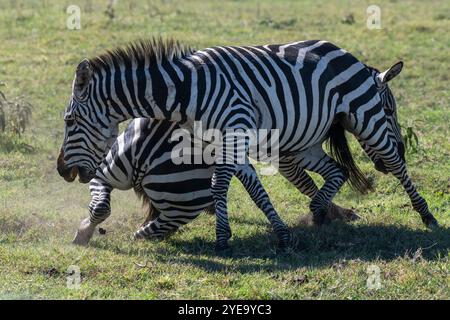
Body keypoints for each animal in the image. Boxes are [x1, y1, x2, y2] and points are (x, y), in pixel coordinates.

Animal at [64, 117, 358, 245]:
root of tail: (142, 151)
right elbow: (300, 182)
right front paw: (331, 213)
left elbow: (257, 187)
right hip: (181, 203)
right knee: (142, 231)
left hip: (114, 169)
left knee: (105, 205)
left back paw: (84, 233)